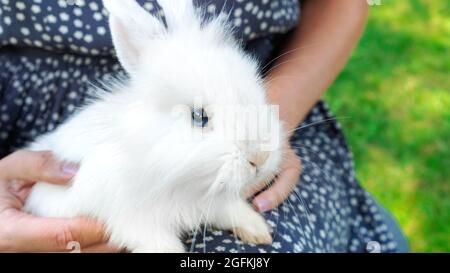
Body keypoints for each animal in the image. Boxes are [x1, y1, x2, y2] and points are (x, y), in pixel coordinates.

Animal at [23, 0, 284, 253]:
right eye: (199, 116)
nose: (260, 157)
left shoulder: (216, 201)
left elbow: (232, 210)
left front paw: (259, 231)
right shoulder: (138, 222)